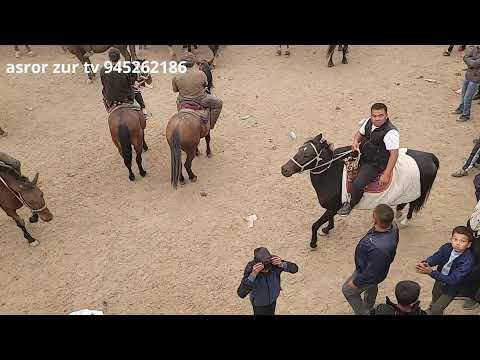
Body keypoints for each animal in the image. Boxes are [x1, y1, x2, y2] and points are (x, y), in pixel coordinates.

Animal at [280, 134, 440, 249]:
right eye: (300, 149)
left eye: (307, 155)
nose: (284, 169)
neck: (333, 175)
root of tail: (429, 156)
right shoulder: (332, 208)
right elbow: (328, 220)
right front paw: (327, 229)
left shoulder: (334, 207)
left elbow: (314, 225)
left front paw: (313, 243)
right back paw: (399, 211)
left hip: (418, 191)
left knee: (413, 204)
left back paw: (405, 220)